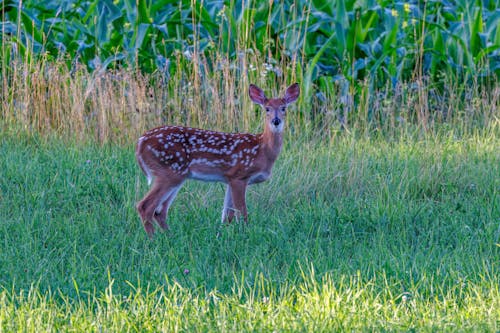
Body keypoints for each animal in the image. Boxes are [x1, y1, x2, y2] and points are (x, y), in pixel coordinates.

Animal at [135, 82, 298, 236]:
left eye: (283, 108)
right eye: (267, 109)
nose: (276, 121)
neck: (262, 150)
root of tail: (141, 142)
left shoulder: (229, 178)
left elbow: (227, 215)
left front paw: (223, 234)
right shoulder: (240, 175)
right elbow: (241, 213)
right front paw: (245, 233)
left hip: (176, 175)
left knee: (160, 211)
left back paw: (169, 236)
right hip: (169, 172)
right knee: (145, 206)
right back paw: (154, 239)